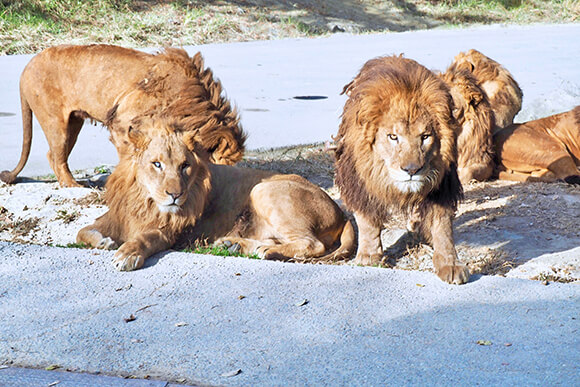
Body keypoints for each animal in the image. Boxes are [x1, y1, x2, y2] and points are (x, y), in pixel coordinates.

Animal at [0, 44, 245, 189]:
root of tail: (27, 66)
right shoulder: (121, 123)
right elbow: (131, 159)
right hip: (55, 121)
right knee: (57, 157)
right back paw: (75, 187)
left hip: (74, 123)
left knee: (53, 155)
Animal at [76, 116, 354, 272]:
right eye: (157, 164)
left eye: (185, 166)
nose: (175, 195)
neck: (145, 200)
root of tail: (341, 212)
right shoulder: (117, 217)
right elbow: (83, 231)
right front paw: (104, 242)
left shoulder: (169, 232)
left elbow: (144, 238)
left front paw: (127, 254)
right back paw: (235, 245)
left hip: (263, 189)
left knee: (313, 244)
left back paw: (262, 251)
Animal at [336, 54, 472, 284]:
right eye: (393, 136)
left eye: (425, 136)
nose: (412, 170)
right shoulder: (359, 179)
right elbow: (366, 220)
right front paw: (369, 256)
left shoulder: (442, 185)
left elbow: (443, 226)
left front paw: (450, 264)